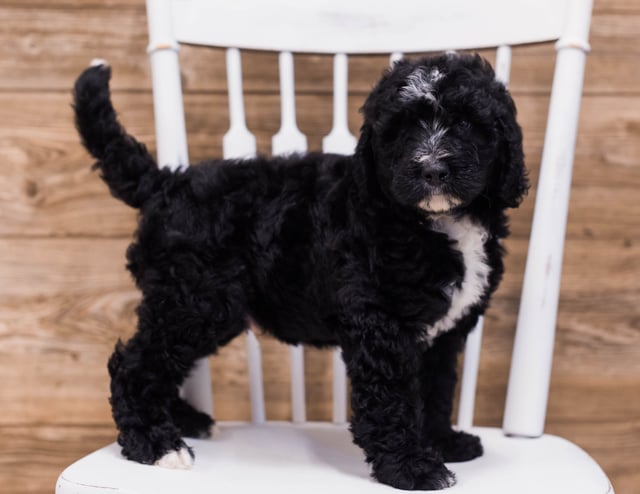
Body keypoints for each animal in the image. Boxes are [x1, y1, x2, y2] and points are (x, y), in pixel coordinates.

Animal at [72, 54, 528, 490]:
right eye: (400, 131)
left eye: (466, 123)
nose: (432, 169)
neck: (436, 223)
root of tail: (166, 183)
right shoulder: (381, 325)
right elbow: (392, 400)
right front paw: (411, 468)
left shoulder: (443, 334)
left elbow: (436, 389)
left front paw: (443, 442)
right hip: (196, 300)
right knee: (136, 363)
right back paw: (155, 444)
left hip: (202, 306)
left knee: (161, 360)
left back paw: (186, 422)